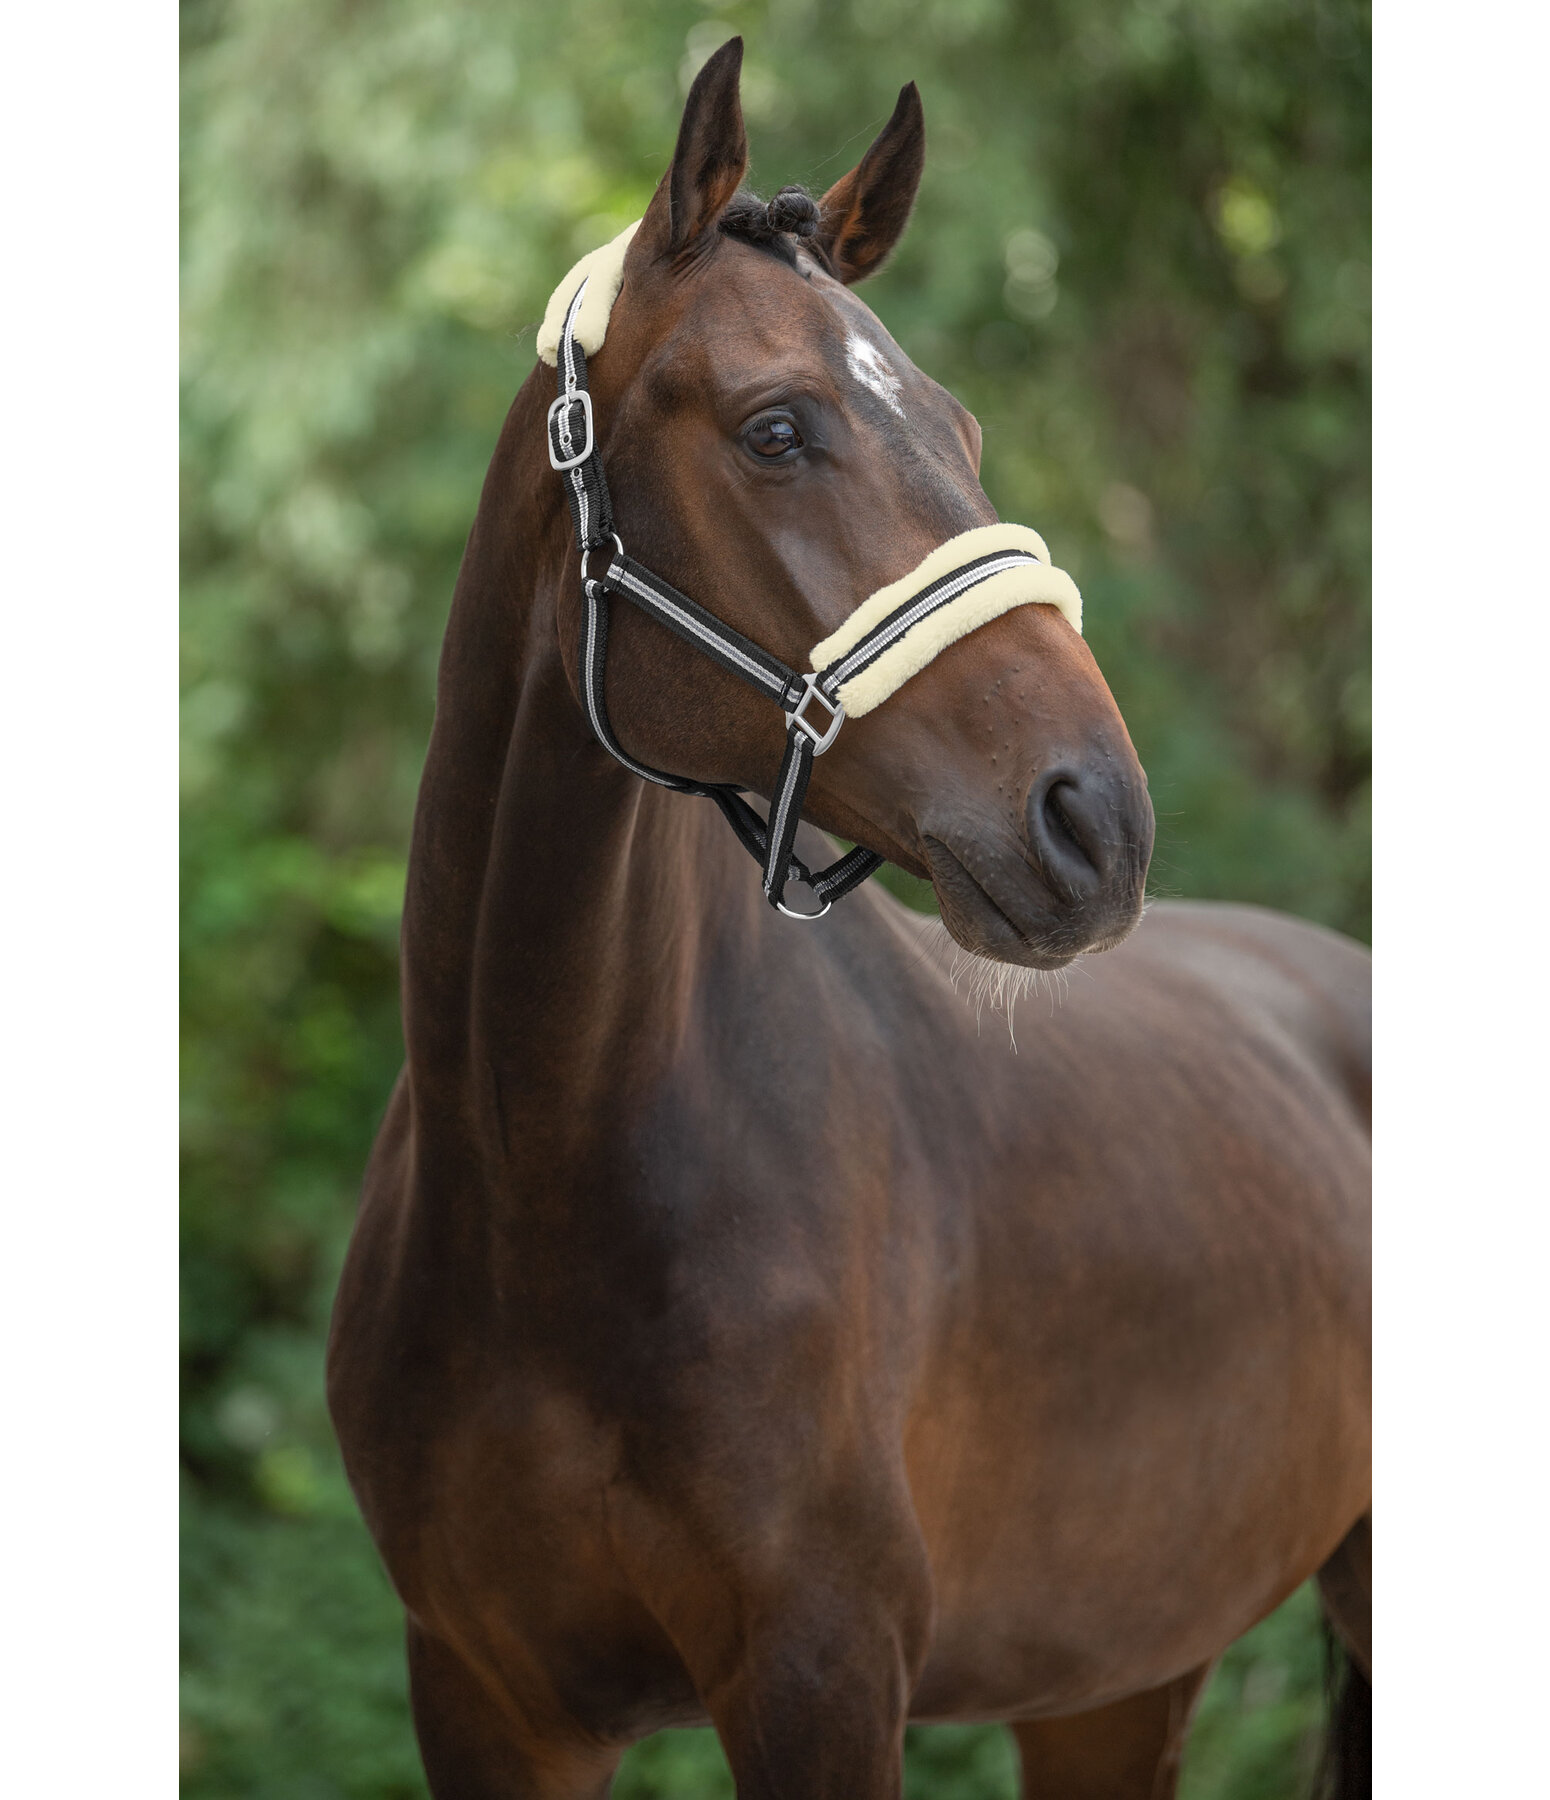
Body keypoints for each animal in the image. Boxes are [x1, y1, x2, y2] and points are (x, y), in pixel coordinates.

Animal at [325, 42, 1368, 1800]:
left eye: (958, 426)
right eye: (776, 428)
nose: (1095, 820)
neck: (541, 1173)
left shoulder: (820, 1677)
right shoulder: (480, 1697)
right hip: (1112, 1678)